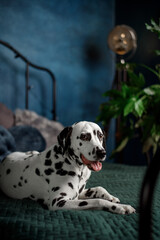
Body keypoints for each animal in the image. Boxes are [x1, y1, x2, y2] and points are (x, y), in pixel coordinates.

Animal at [0, 122, 136, 214]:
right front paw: (120, 207)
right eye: (84, 136)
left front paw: (111, 197)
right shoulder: (59, 202)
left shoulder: (79, 193)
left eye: (100, 135)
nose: (102, 152)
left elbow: (99, 188)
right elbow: (97, 201)